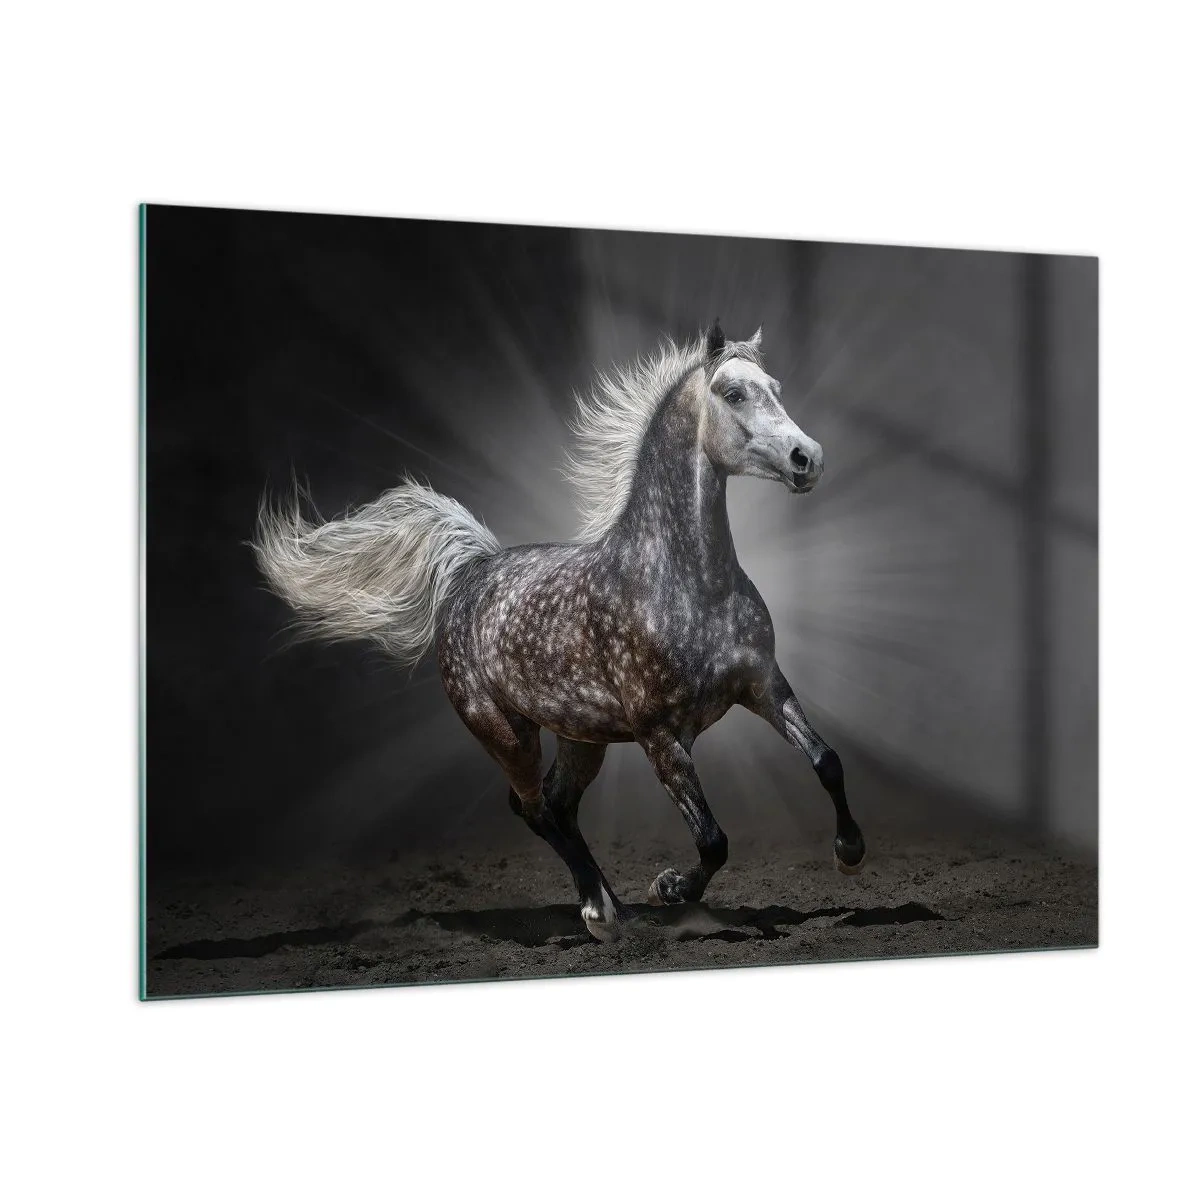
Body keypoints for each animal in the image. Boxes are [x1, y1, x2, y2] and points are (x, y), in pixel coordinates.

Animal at [253, 321, 866, 941]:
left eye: (776, 387)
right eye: (733, 393)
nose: (808, 458)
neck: (686, 580)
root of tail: (469, 572)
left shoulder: (764, 686)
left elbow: (827, 762)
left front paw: (850, 854)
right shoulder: (660, 735)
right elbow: (712, 840)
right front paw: (669, 888)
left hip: (581, 738)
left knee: (558, 805)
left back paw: (612, 904)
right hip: (505, 733)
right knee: (533, 807)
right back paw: (600, 911)